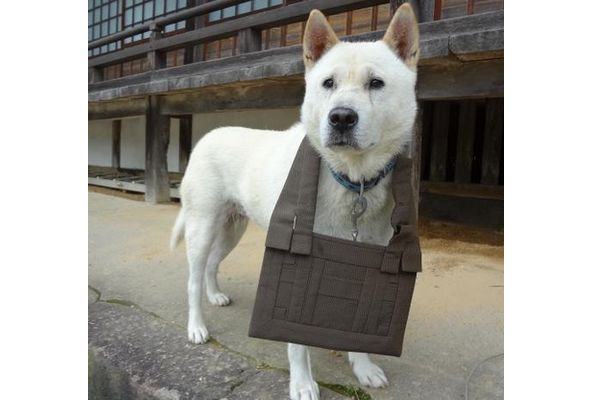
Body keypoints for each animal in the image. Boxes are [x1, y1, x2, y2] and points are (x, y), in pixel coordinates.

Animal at [171, 4, 420, 398]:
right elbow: (297, 341)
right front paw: (302, 382)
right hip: (202, 225)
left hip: (232, 228)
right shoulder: (299, 257)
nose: (341, 117)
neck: (351, 179)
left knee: (211, 264)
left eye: (376, 84)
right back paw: (197, 325)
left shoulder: (370, 255)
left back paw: (215, 295)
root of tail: (208, 134)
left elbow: (359, 328)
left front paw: (362, 367)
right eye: (328, 83)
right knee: (194, 275)